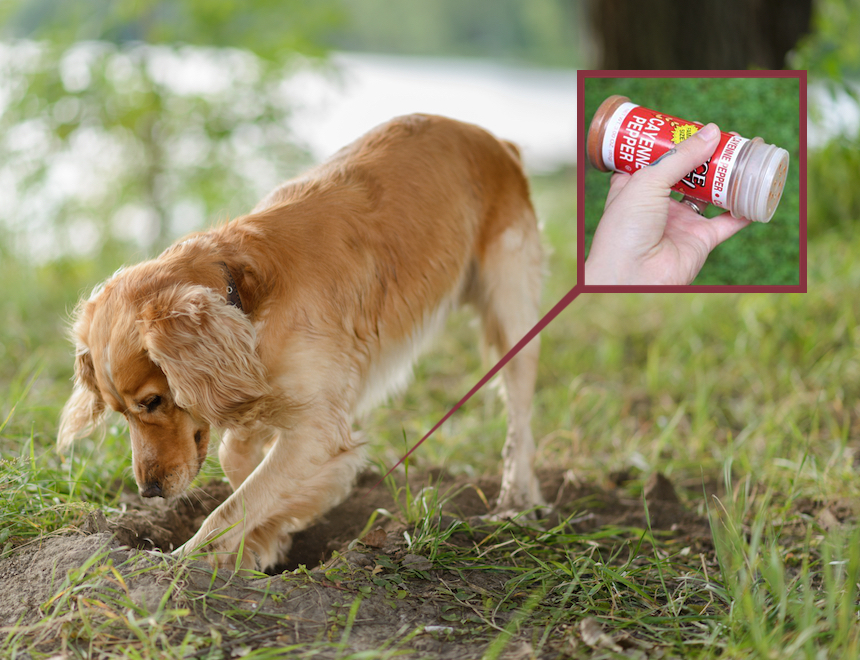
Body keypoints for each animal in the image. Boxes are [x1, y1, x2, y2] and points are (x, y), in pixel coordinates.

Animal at [58, 113, 544, 568]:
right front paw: (266, 540)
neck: (245, 300)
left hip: (513, 315)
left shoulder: (318, 428)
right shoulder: (257, 390)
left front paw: (187, 560)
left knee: (520, 420)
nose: (149, 491)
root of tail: (492, 139)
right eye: (120, 412)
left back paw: (516, 500)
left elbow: (232, 508)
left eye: (153, 402)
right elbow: (239, 464)